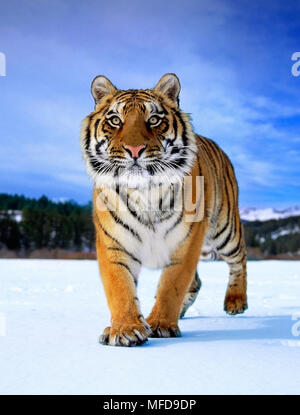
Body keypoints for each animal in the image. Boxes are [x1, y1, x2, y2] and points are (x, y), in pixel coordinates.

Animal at [80, 72, 248, 348]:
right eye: (115, 120)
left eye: (154, 119)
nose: (134, 150)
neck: (144, 192)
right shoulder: (114, 242)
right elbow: (120, 287)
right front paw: (125, 329)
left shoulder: (186, 241)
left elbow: (172, 284)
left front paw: (160, 324)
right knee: (197, 281)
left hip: (225, 229)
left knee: (239, 259)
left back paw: (236, 302)